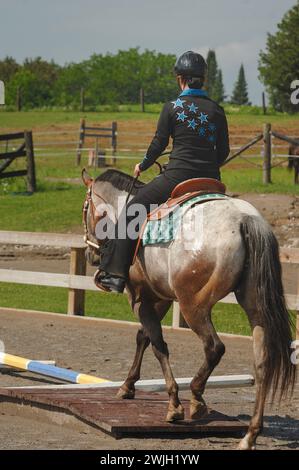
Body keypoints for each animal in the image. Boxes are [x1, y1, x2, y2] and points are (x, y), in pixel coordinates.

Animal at [81, 167, 296, 450]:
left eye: (84, 209)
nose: (90, 254)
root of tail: (243, 220)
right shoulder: (158, 298)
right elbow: (144, 338)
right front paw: (128, 386)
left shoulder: (140, 299)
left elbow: (158, 346)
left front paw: (174, 406)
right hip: (255, 309)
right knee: (261, 362)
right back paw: (249, 434)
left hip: (192, 306)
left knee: (214, 347)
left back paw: (196, 398)